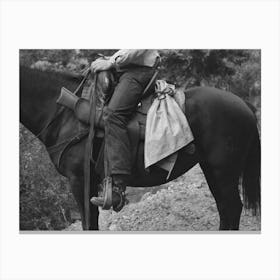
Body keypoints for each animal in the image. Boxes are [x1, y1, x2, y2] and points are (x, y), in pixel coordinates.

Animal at [19, 65, 260, 230]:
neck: (64, 114)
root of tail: (244, 104)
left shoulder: (79, 180)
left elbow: (89, 224)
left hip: (223, 171)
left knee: (232, 208)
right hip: (212, 170)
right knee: (225, 209)